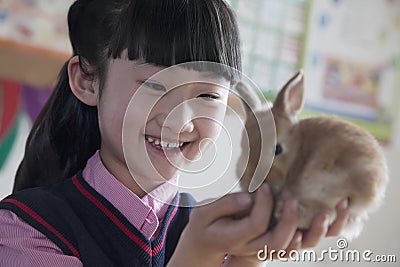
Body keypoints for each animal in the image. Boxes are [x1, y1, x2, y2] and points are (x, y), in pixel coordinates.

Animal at [236, 69, 390, 241]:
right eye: (244, 146)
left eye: (277, 149)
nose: (249, 180)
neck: (298, 149)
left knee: (328, 213)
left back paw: (282, 210)